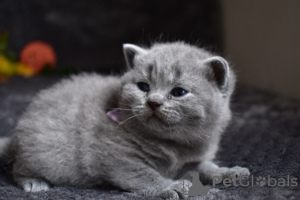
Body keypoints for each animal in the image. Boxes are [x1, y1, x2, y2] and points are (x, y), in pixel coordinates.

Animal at [0, 41, 248, 198]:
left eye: (178, 92)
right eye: (143, 87)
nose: (154, 102)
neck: (175, 145)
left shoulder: (192, 159)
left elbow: (206, 167)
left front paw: (228, 173)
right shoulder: (117, 157)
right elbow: (145, 175)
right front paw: (175, 186)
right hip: (44, 153)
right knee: (18, 168)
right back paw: (34, 182)